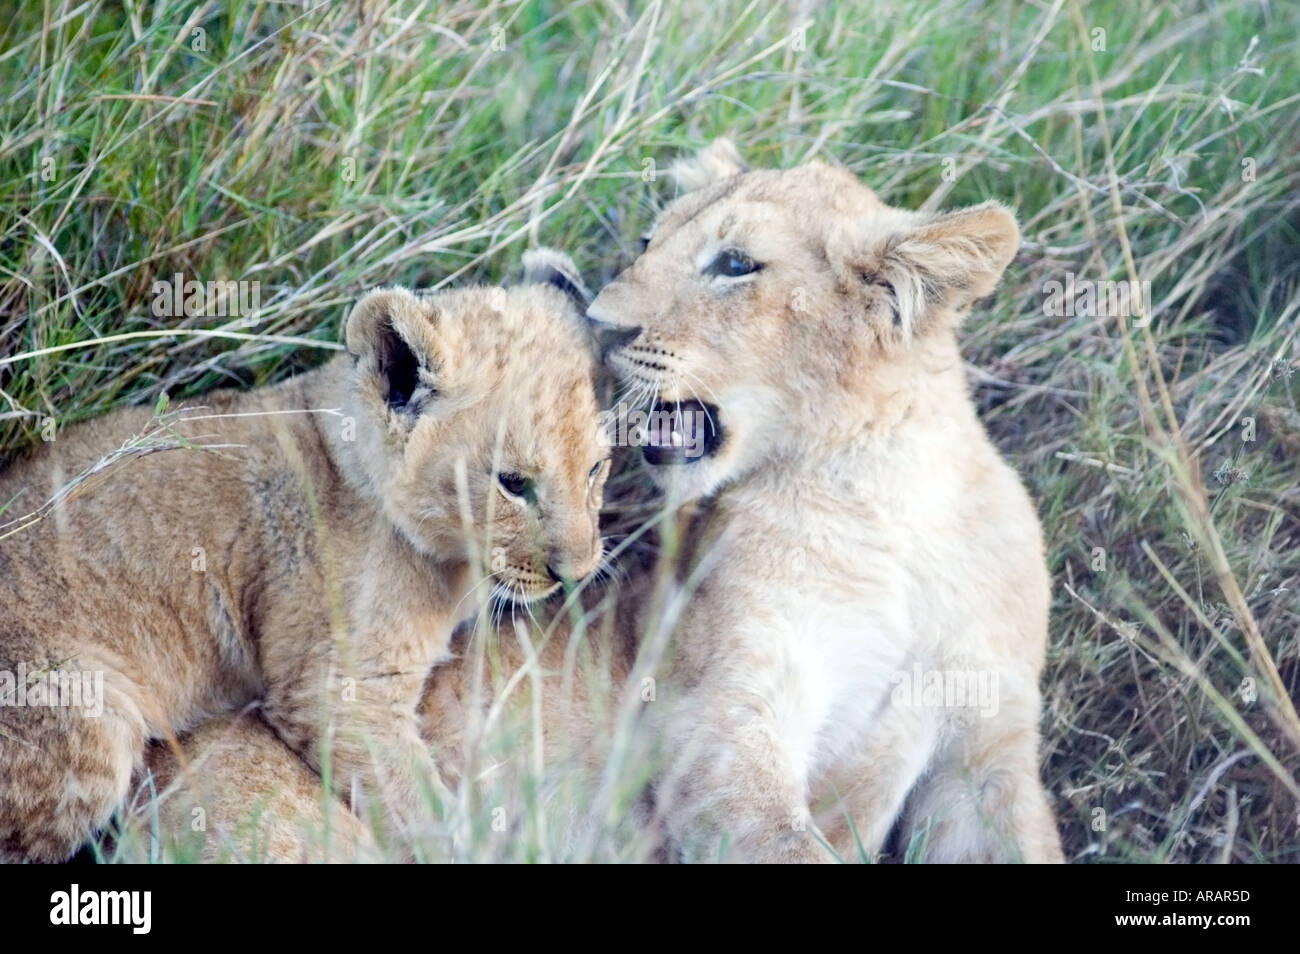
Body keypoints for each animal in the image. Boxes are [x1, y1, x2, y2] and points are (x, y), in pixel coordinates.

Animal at [0, 252, 610, 862]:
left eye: (596, 469)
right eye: (513, 483)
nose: (576, 574)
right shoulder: (340, 690)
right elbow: (422, 814)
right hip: (87, 723)